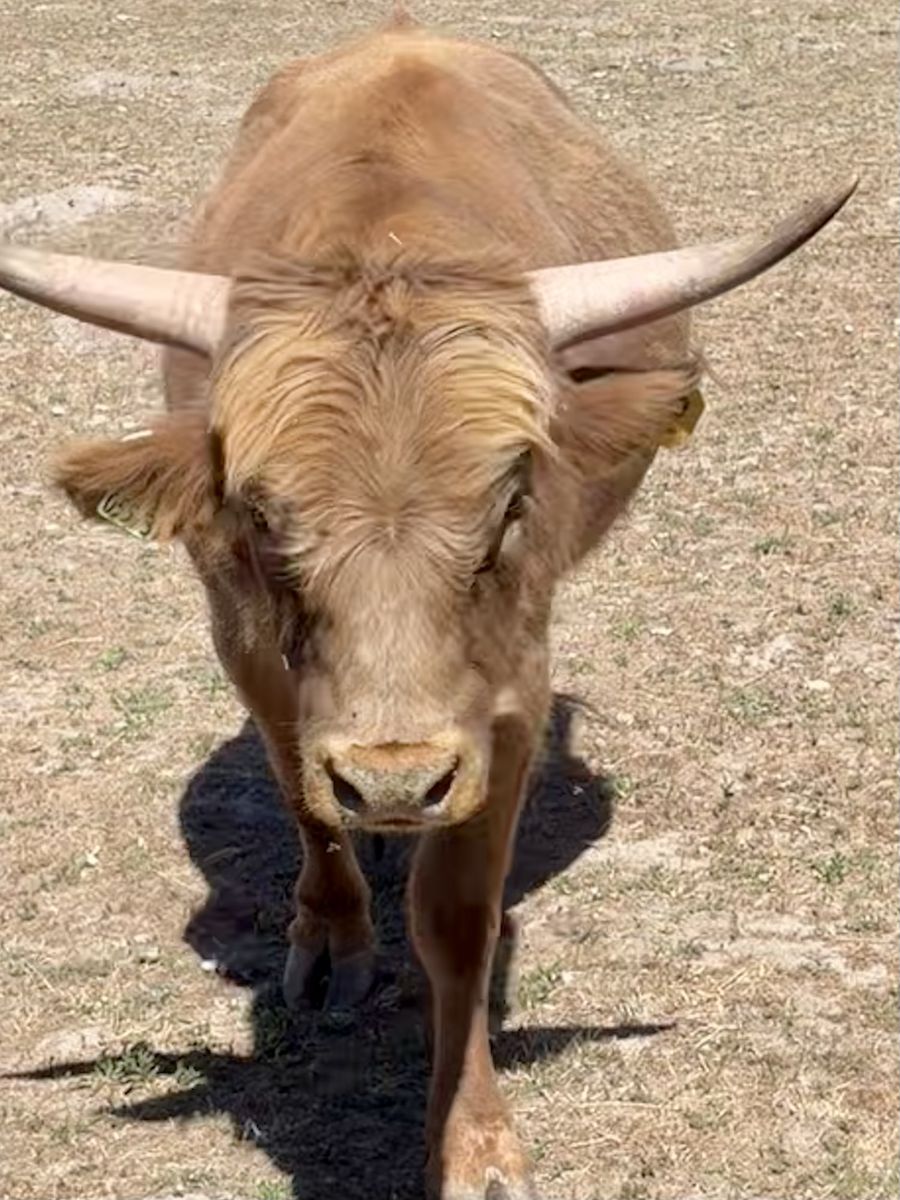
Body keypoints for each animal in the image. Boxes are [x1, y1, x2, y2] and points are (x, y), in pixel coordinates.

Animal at [0, 8, 853, 1198]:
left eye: (508, 506)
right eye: (262, 514)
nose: (398, 782)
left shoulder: (510, 684)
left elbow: (457, 916)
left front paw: (475, 1144)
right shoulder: (245, 638)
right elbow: (302, 790)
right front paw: (332, 935)